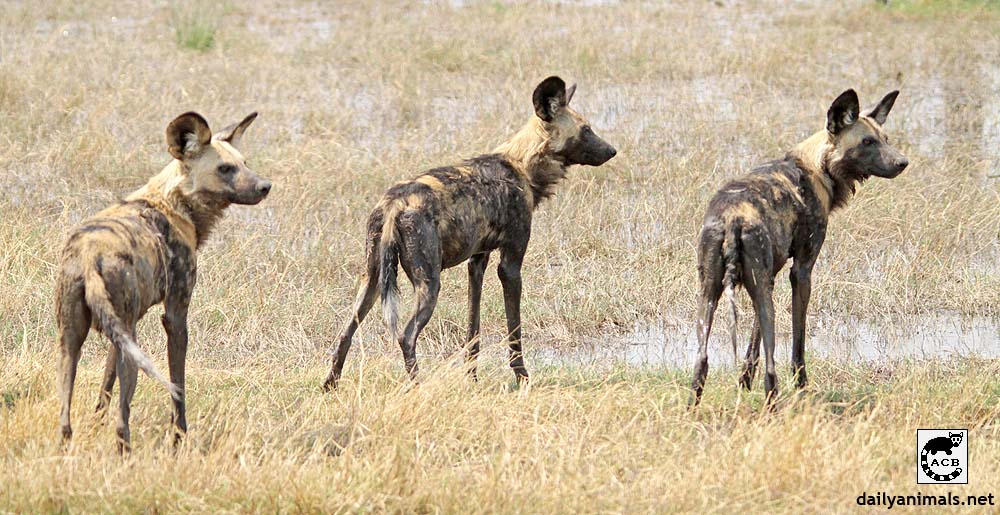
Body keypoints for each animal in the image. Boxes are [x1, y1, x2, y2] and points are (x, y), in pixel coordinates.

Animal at [56, 111, 272, 450]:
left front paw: (94, 424)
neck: (173, 203)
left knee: (65, 415)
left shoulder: (122, 332)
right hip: (129, 352)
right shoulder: (175, 316)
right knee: (123, 419)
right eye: (225, 169)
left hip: (72, 341)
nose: (265, 186)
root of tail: (91, 257)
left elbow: (105, 385)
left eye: (245, 163)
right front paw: (179, 437)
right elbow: (178, 384)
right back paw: (126, 453)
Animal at [324, 74, 612, 390]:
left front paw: (471, 377)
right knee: (406, 335)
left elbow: (473, 329)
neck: (521, 166)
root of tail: (396, 203)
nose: (612, 150)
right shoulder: (510, 266)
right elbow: (515, 332)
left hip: (373, 279)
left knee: (346, 331)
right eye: (586, 130)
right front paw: (522, 378)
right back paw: (417, 387)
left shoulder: (478, 262)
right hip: (429, 285)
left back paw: (330, 385)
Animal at [692, 89, 912, 404]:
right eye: (866, 142)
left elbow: (752, 345)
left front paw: (744, 381)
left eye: (885, 139)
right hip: (761, 296)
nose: (902, 162)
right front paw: (802, 386)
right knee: (771, 369)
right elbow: (798, 342)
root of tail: (734, 218)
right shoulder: (801, 272)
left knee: (701, 362)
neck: (816, 167)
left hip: (712, 292)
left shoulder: (768, 278)